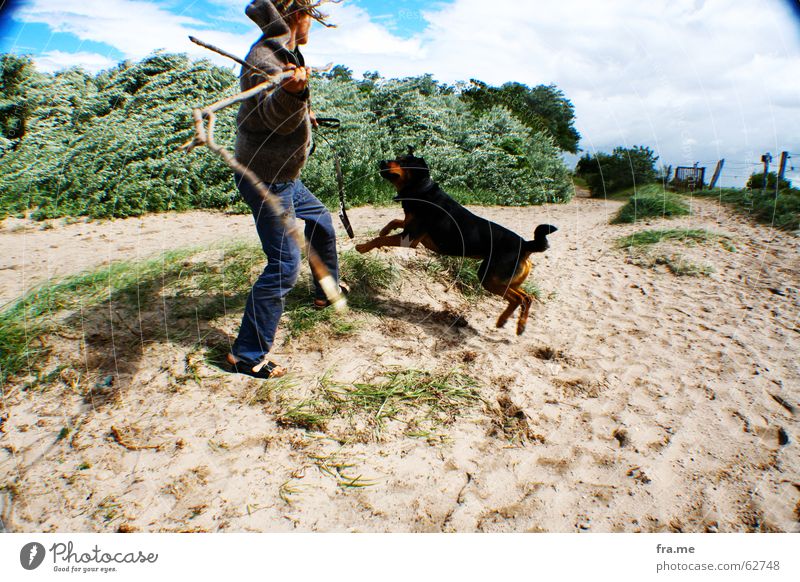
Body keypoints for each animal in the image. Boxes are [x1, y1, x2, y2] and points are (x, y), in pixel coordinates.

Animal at [356, 148, 556, 336]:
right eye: (397, 158)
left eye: (403, 162)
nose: (382, 161)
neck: (421, 190)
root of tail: (525, 244)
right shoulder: (410, 228)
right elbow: (394, 222)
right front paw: (384, 229)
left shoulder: (410, 238)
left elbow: (381, 238)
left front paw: (363, 247)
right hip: (506, 279)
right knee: (527, 297)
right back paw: (513, 323)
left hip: (489, 277)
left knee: (519, 299)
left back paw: (508, 322)